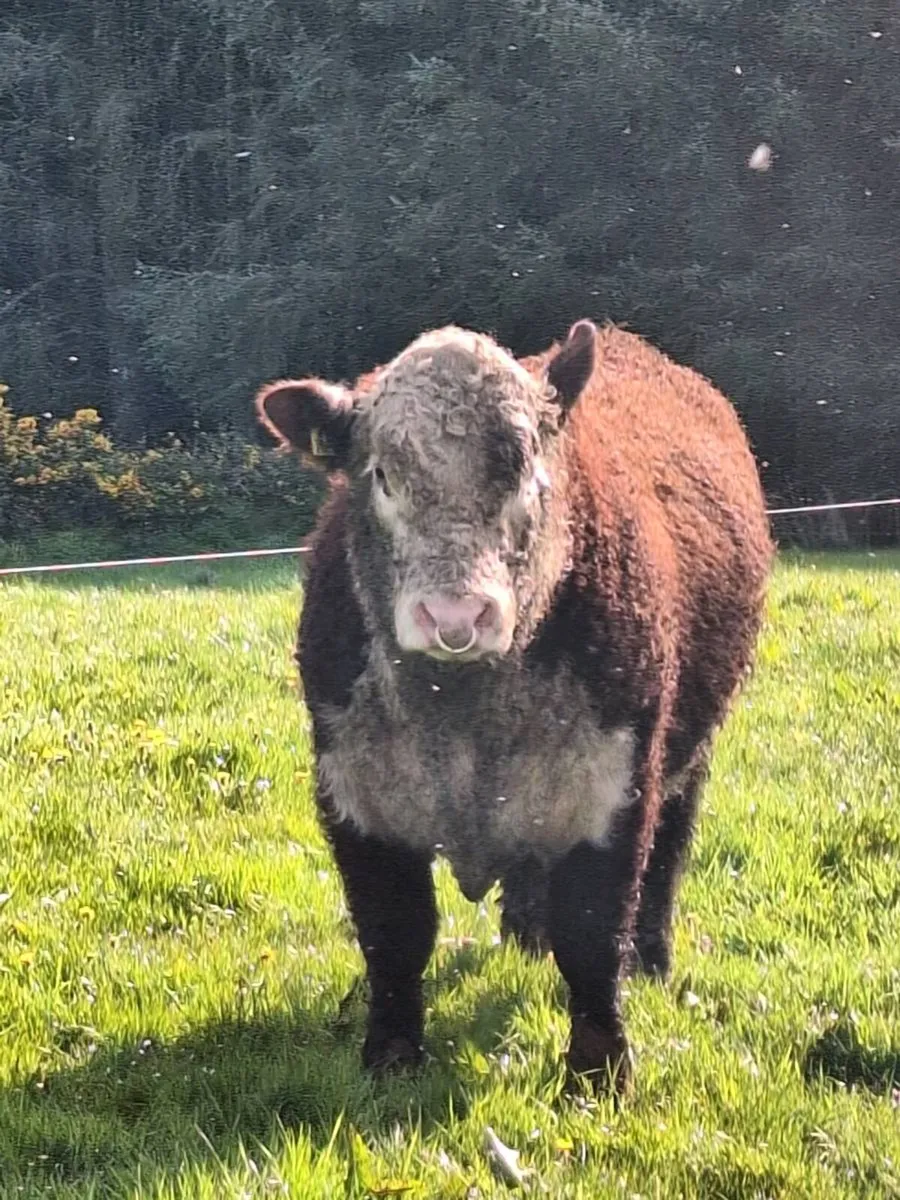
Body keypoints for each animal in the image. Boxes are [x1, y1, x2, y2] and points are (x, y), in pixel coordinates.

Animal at [255, 319, 773, 1094]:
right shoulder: (355, 797)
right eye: (382, 476)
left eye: (528, 472)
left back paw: (651, 957)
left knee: (668, 854)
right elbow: (394, 931)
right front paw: (391, 1058)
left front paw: (598, 1073)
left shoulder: (613, 791)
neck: (464, 717)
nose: (455, 615)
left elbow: (592, 936)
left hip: (688, 755)